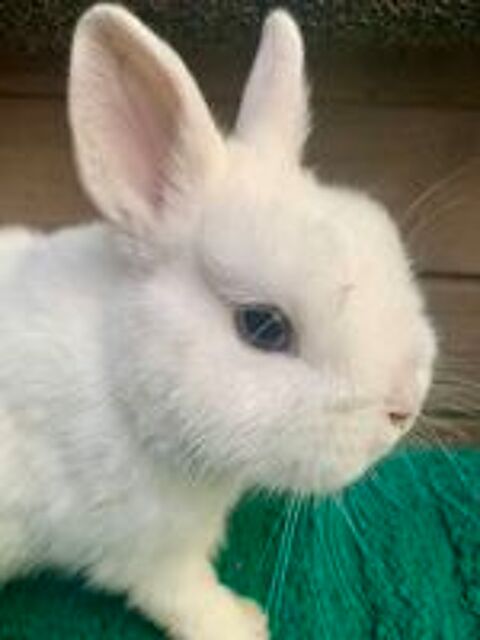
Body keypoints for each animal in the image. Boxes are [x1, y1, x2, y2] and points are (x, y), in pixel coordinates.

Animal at [0, 4, 437, 639]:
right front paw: (244, 623)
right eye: (263, 327)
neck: (122, 380)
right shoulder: (146, 550)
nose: (404, 408)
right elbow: (186, 595)